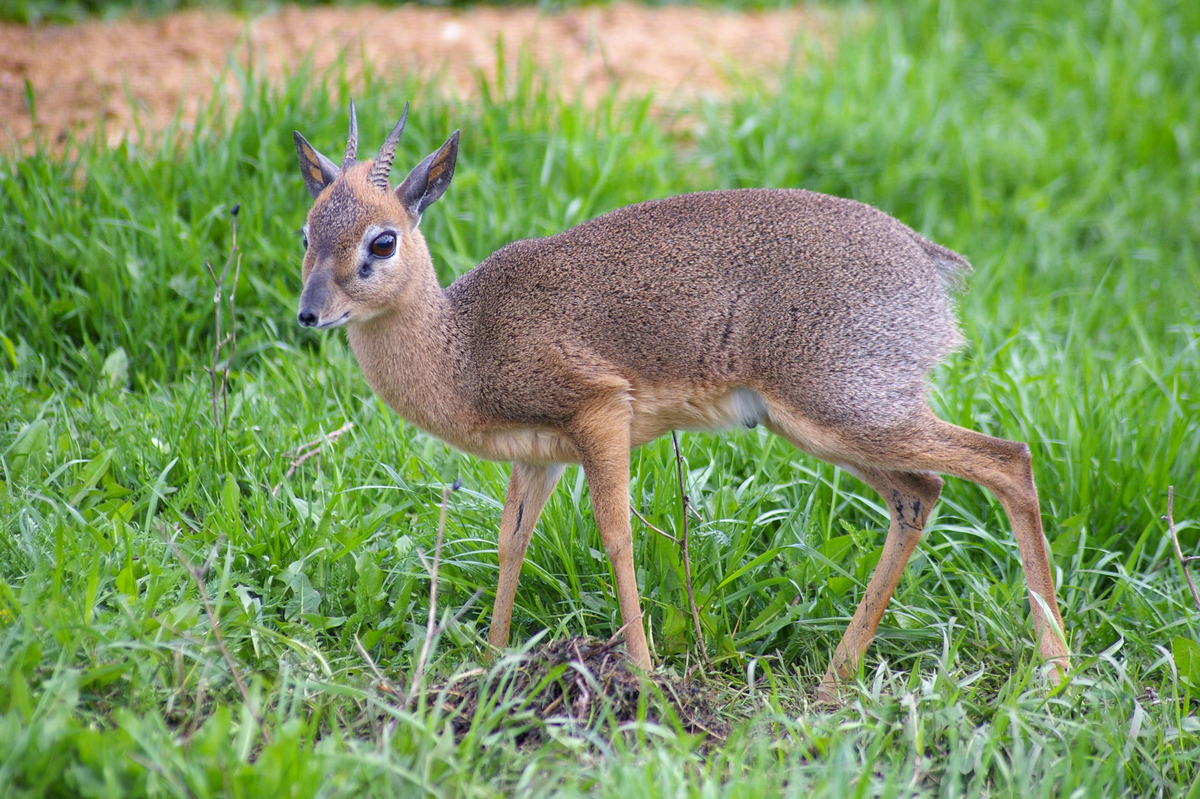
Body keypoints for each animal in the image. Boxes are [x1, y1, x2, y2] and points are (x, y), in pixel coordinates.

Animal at [295, 104, 1075, 695]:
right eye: (307, 230)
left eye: (382, 240)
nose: (309, 314)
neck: (464, 344)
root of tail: (925, 258)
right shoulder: (538, 456)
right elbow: (510, 541)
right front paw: (491, 668)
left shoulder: (600, 415)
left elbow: (617, 534)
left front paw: (641, 675)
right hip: (824, 428)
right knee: (921, 493)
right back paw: (834, 681)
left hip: (850, 413)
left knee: (1007, 459)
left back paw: (1056, 669)